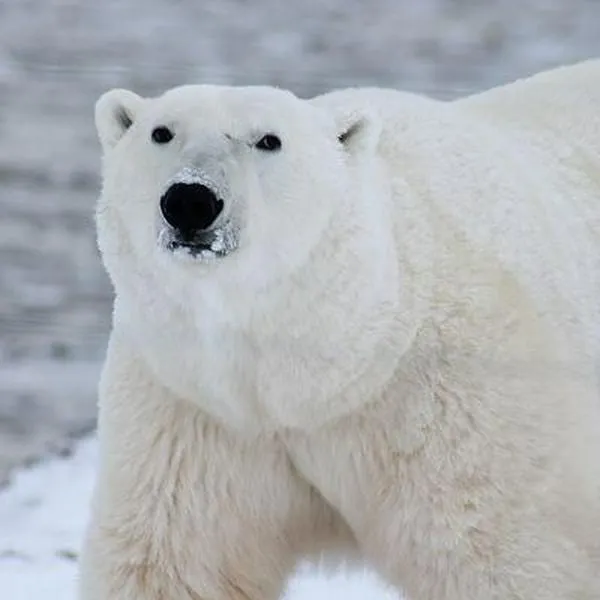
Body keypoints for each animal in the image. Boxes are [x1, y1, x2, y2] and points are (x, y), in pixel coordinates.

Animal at [79, 59, 600, 600]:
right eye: (161, 132)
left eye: (269, 140)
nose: (190, 200)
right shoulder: (194, 410)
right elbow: (176, 560)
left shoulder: (457, 410)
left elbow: (501, 555)